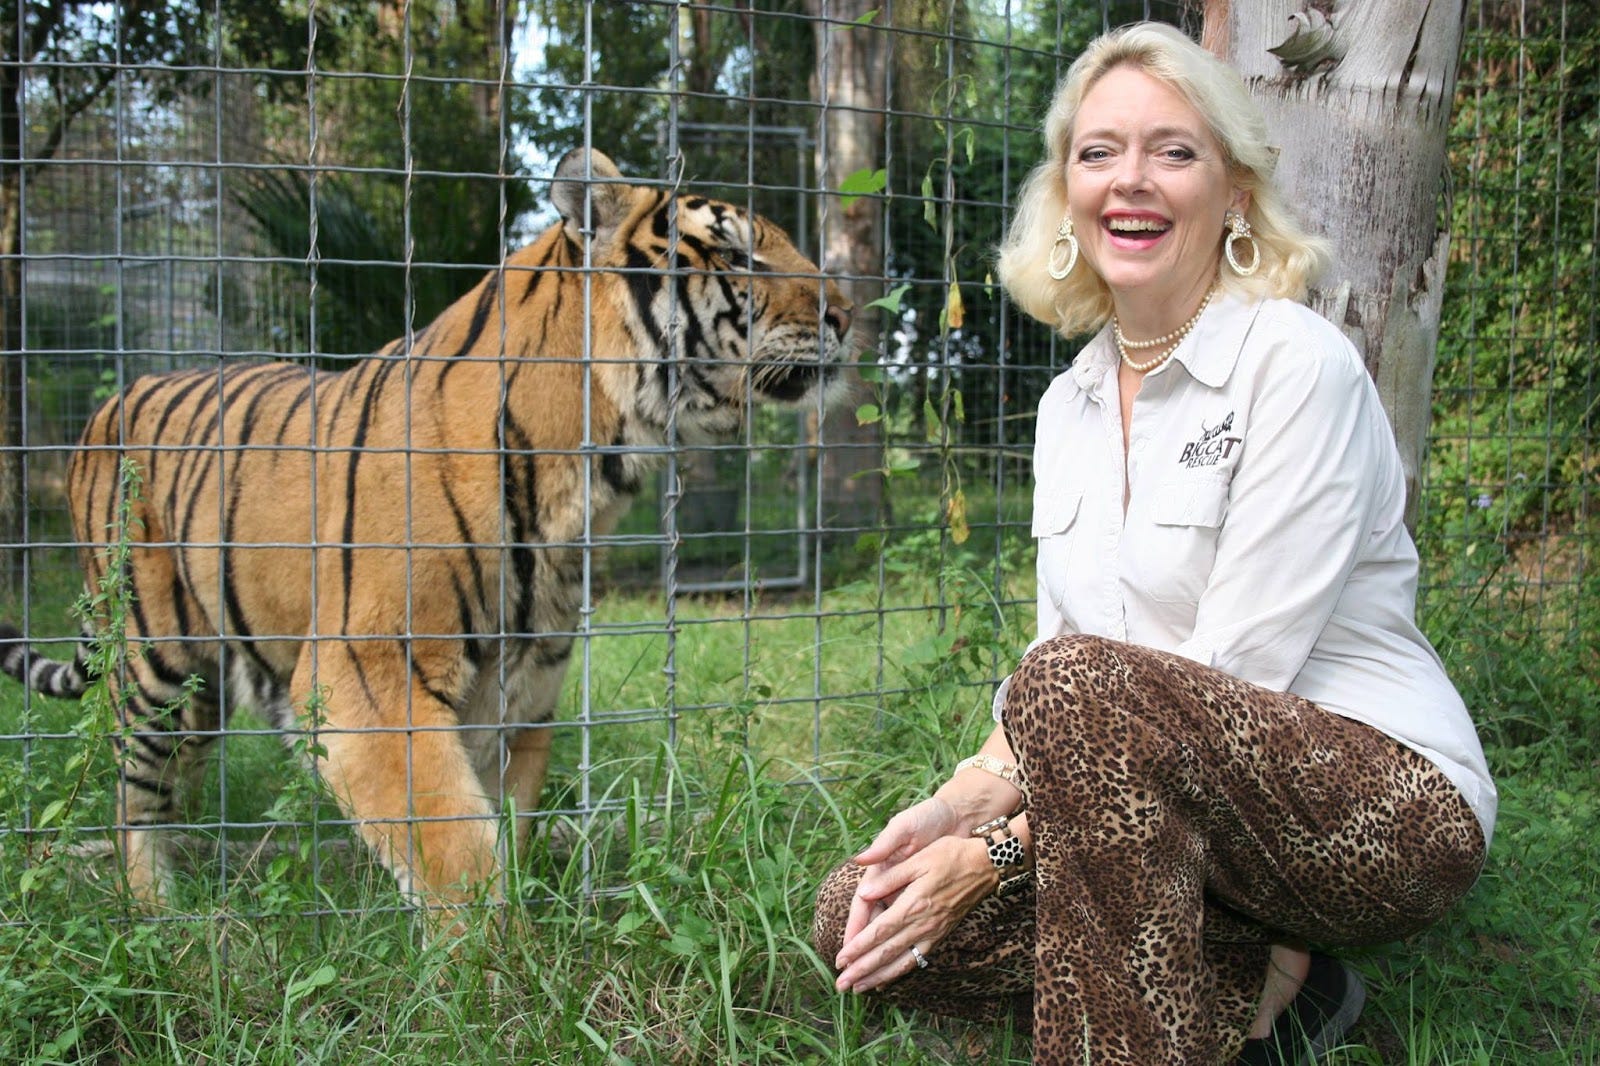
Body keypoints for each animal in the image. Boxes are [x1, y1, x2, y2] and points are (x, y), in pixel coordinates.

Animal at [0, 147, 854, 911]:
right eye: (737, 252)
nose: (848, 317)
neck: (598, 463)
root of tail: (113, 398)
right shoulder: (368, 673)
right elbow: (452, 845)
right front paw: (500, 974)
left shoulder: (523, 678)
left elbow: (501, 821)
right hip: (156, 663)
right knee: (134, 802)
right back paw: (162, 922)